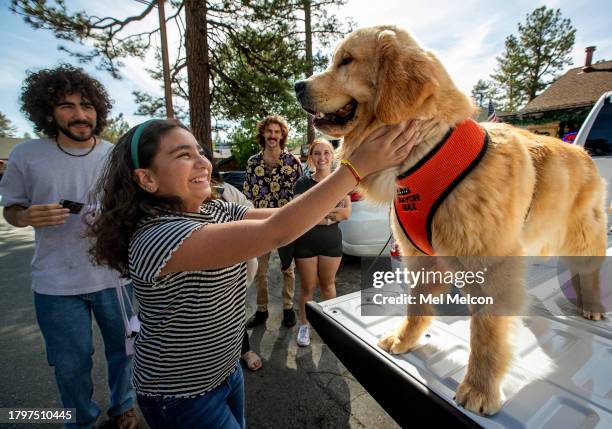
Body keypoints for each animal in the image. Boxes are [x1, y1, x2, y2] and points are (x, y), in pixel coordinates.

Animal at [296, 25, 608, 412]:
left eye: (347, 61)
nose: (297, 85)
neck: (425, 151)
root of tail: (583, 151)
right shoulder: (419, 257)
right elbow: (416, 307)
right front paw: (405, 340)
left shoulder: (491, 268)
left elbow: (486, 336)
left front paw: (480, 387)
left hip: (583, 235)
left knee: (588, 272)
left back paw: (591, 305)